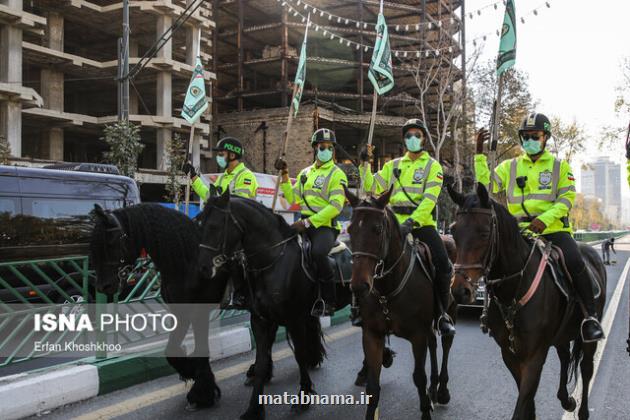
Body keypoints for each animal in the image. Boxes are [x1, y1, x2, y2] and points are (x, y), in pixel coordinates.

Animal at [90, 203, 223, 410]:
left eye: (110, 243)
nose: (102, 286)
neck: (188, 262)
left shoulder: (198, 312)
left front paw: (202, 393)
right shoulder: (180, 312)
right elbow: (171, 351)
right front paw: (190, 370)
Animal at [344, 187, 452, 420]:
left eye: (377, 229)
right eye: (349, 229)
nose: (358, 285)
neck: (387, 288)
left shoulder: (417, 336)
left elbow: (418, 378)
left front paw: (425, 410)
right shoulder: (372, 335)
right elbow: (373, 388)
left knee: (446, 341)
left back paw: (442, 390)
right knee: (433, 343)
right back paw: (434, 387)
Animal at [450, 184, 608, 420]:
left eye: (484, 233)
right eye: (453, 232)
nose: (460, 290)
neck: (514, 289)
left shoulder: (534, 356)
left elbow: (523, 402)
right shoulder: (509, 355)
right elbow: (528, 403)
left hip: (588, 336)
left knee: (587, 368)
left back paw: (582, 411)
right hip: (561, 334)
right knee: (564, 356)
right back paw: (566, 399)